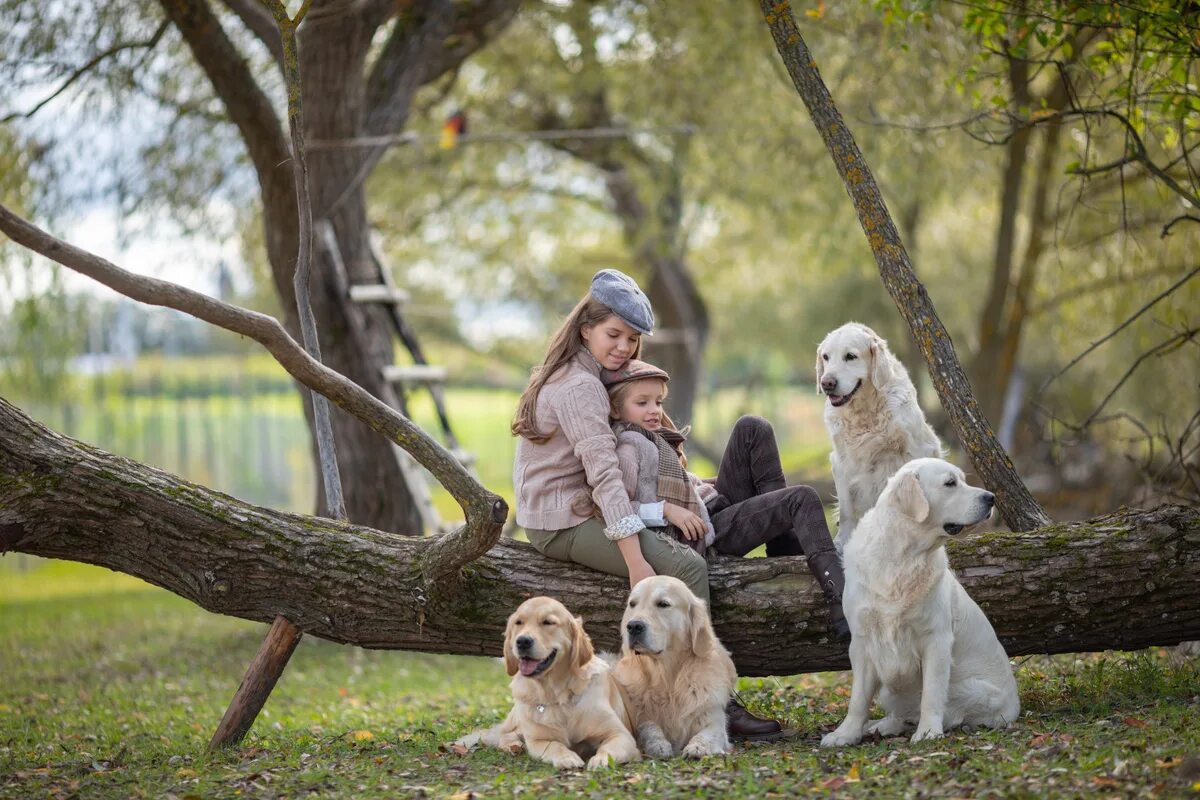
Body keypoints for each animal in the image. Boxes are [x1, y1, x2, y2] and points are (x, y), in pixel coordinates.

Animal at [820, 321, 940, 554]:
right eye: (825, 357)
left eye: (850, 356)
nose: (826, 383)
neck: (865, 411)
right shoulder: (841, 462)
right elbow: (846, 510)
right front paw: (841, 542)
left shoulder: (917, 450)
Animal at [825, 460, 1022, 748]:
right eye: (950, 483)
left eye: (963, 480)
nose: (991, 497)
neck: (903, 557)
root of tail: (1015, 705)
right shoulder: (861, 641)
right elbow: (858, 698)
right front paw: (846, 733)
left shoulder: (936, 639)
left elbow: (931, 693)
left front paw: (928, 732)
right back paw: (881, 725)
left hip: (975, 691)